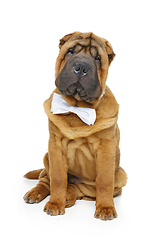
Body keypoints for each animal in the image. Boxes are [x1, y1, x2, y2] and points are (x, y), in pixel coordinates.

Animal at [23, 31, 127, 221]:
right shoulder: (55, 146)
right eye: (70, 51)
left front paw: (106, 208)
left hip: (121, 175)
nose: (81, 67)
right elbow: (58, 178)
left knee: (83, 190)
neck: (77, 108)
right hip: (46, 156)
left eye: (97, 58)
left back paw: (69, 196)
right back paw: (37, 193)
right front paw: (55, 204)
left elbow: (104, 181)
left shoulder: (106, 148)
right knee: (45, 179)